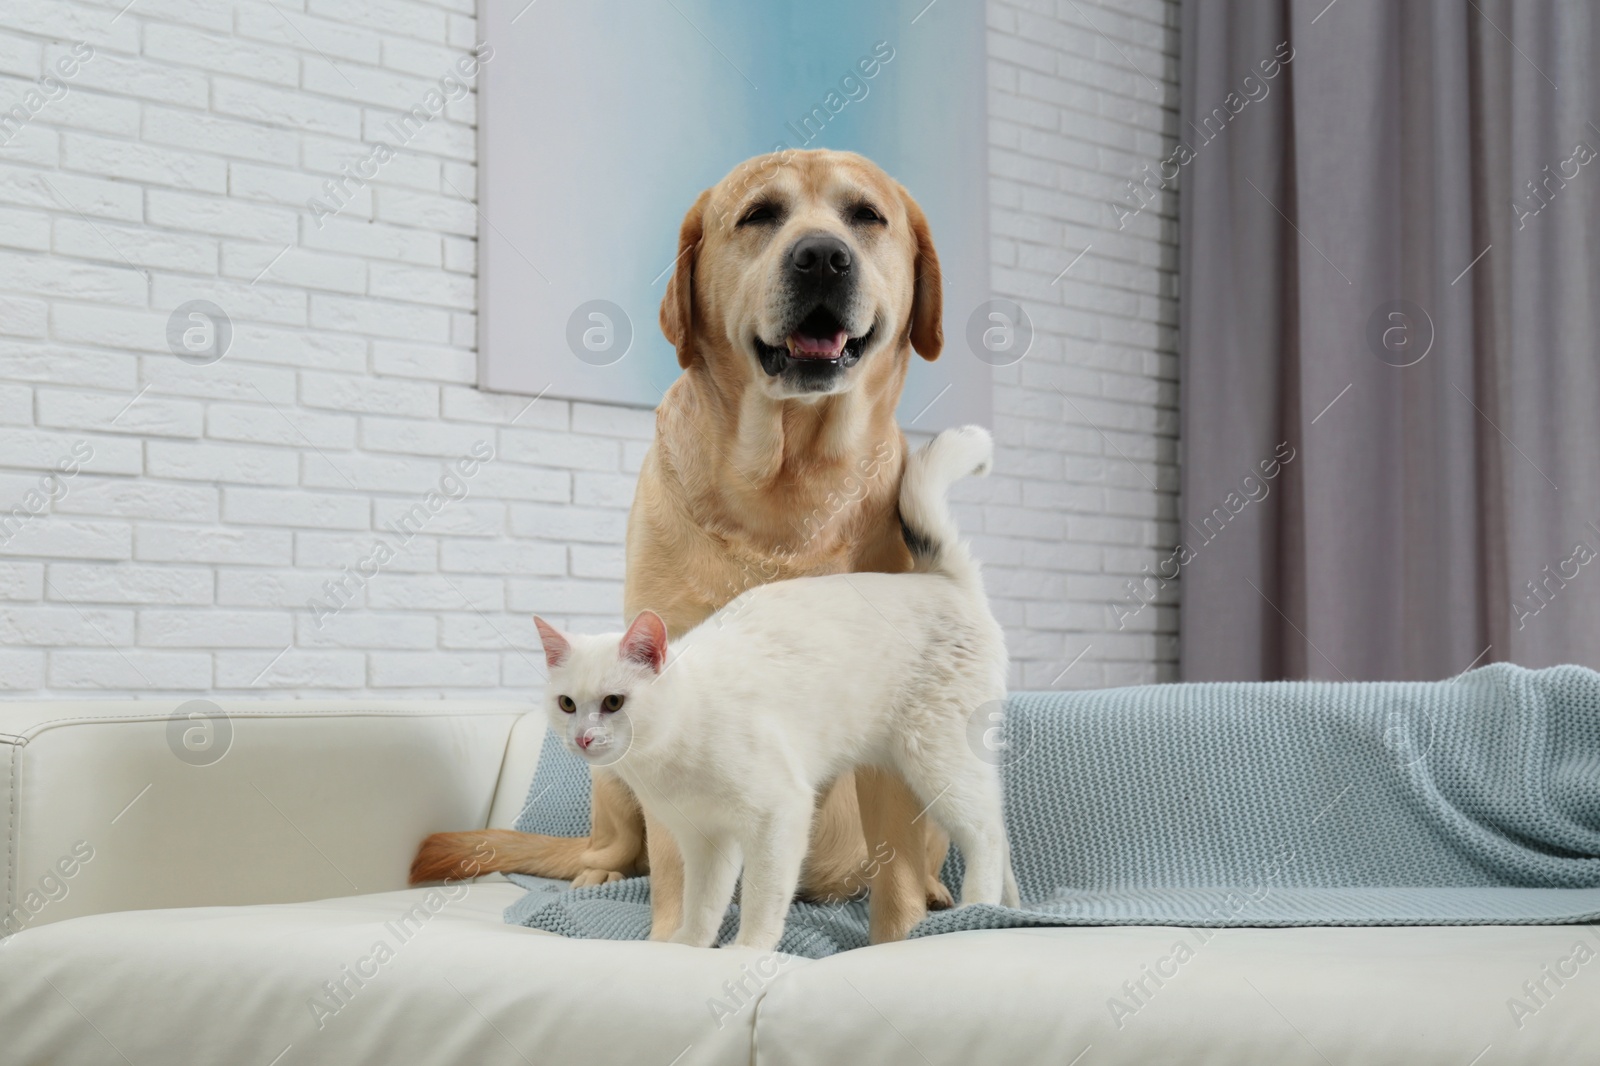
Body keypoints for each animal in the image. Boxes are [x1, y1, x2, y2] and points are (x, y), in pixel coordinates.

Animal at [419, 149, 953, 941]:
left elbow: (898, 882)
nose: (822, 257)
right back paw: (601, 872)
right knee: (617, 848)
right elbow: (674, 867)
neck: (790, 485)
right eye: (760, 215)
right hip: (609, 776)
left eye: (866, 216)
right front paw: (672, 938)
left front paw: (898, 941)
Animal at [534, 422, 1011, 947]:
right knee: (1000, 822)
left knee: (987, 833)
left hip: (936, 758)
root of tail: (942, 580)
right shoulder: (706, 840)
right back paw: (1008, 909)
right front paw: (689, 946)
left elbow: (763, 900)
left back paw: (977, 909)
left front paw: (745, 951)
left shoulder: (780, 814)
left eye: (614, 702)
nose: (583, 737)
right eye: (567, 704)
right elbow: (704, 903)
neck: (665, 757)